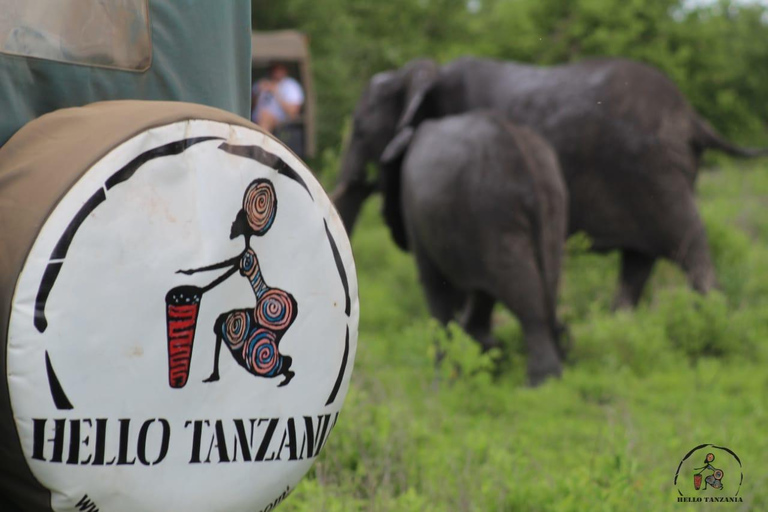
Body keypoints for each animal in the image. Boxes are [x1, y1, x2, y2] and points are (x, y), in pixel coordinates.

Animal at [336, 58, 768, 310]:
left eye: (360, 130)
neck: (423, 72)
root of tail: (692, 117)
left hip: (656, 172)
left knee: (688, 243)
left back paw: (714, 318)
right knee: (638, 261)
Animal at [380, 112, 568, 384]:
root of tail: (521, 150)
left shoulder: (415, 216)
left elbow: (435, 287)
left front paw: (444, 380)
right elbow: (481, 292)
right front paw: (485, 353)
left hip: (492, 208)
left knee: (521, 287)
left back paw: (543, 383)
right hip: (551, 199)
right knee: (549, 274)